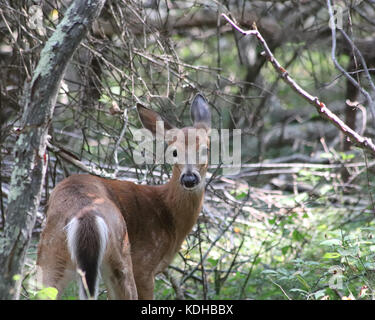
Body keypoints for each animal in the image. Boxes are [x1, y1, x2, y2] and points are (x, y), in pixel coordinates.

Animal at [36, 93, 213, 300]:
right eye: (174, 151)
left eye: (206, 149)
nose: (189, 178)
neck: (168, 213)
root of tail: (87, 216)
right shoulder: (144, 264)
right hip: (122, 255)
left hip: (50, 254)